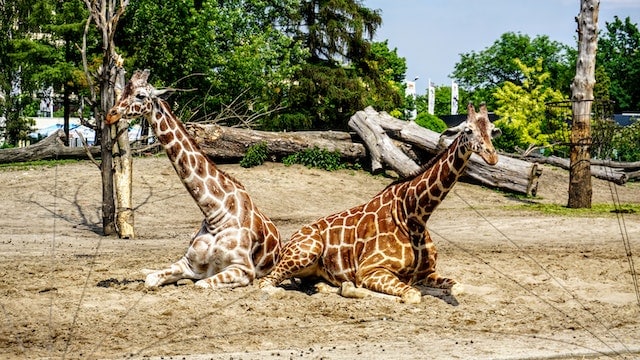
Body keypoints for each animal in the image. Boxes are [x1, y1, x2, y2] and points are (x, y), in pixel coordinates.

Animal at [106, 69, 282, 290]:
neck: (215, 214)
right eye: (122, 92)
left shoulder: (243, 270)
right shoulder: (188, 263)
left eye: (140, 95)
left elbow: (200, 284)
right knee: (148, 271)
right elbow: (151, 279)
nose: (110, 115)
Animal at [258, 103, 502, 304]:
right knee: (266, 283)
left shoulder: (428, 273)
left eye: (492, 130)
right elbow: (412, 294)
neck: (414, 215)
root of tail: (289, 241)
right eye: (468, 130)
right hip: (307, 250)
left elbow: (457, 287)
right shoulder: (371, 269)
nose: (492, 157)